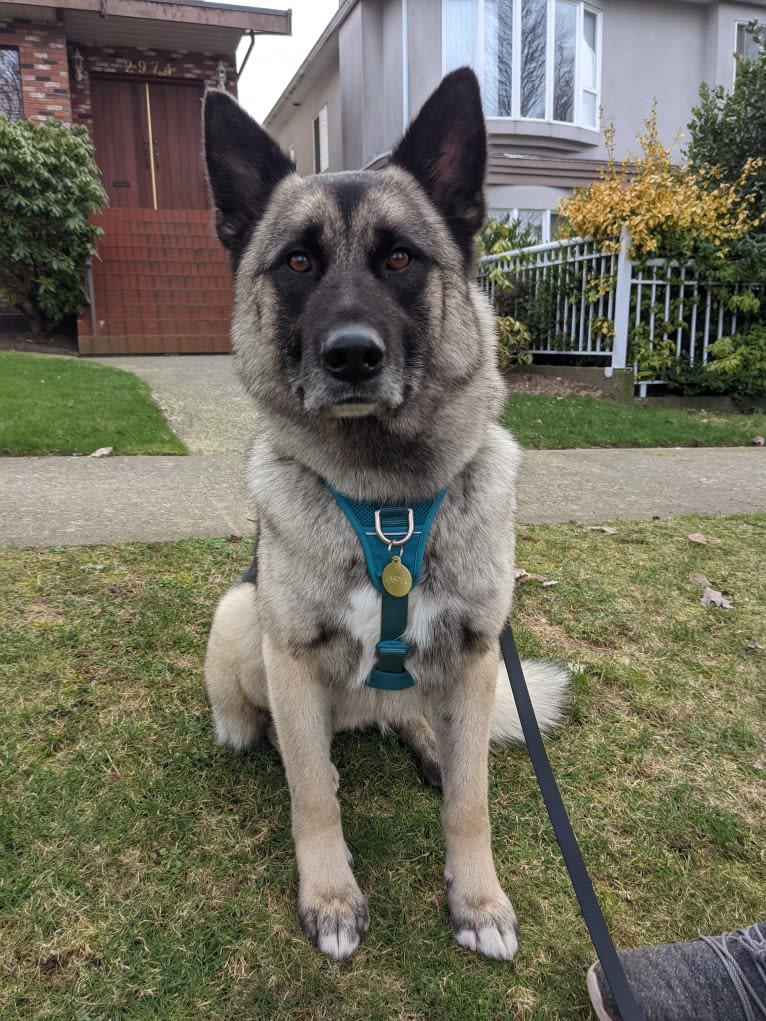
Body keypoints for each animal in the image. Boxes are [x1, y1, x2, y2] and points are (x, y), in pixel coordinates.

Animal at [204, 67, 571, 959]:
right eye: (297, 262)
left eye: (401, 257)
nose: (351, 356)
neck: (387, 504)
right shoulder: (292, 654)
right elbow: (312, 796)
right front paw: (330, 896)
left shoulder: (475, 653)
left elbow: (471, 801)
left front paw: (477, 899)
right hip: (241, 615)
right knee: (291, 741)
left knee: (421, 725)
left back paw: (427, 741)